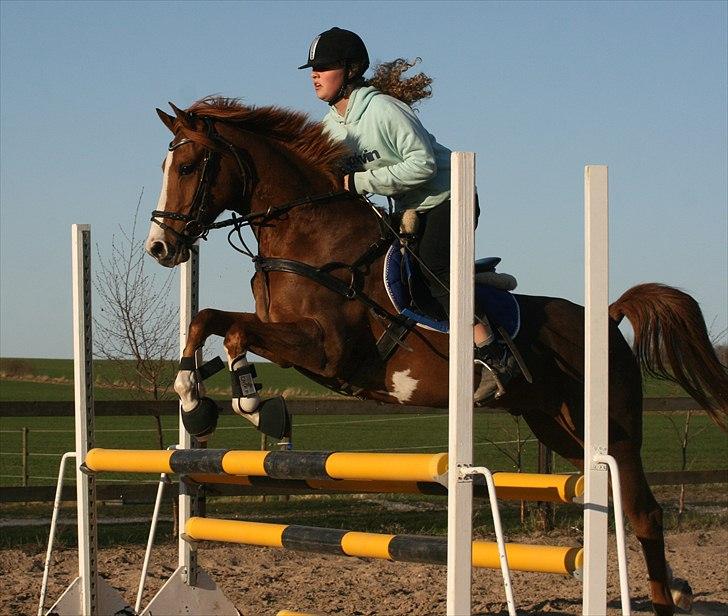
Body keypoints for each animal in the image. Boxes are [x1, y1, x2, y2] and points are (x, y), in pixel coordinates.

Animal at [145, 97, 724, 616]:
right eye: (165, 165)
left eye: (191, 165)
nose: (160, 247)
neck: (309, 236)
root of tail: (605, 316)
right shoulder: (292, 343)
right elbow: (208, 320)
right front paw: (194, 400)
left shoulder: (327, 350)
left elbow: (236, 332)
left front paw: (249, 402)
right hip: (562, 429)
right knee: (616, 501)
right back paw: (676, 588)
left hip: (613, 431)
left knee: (646, 513)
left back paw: (667, 599)